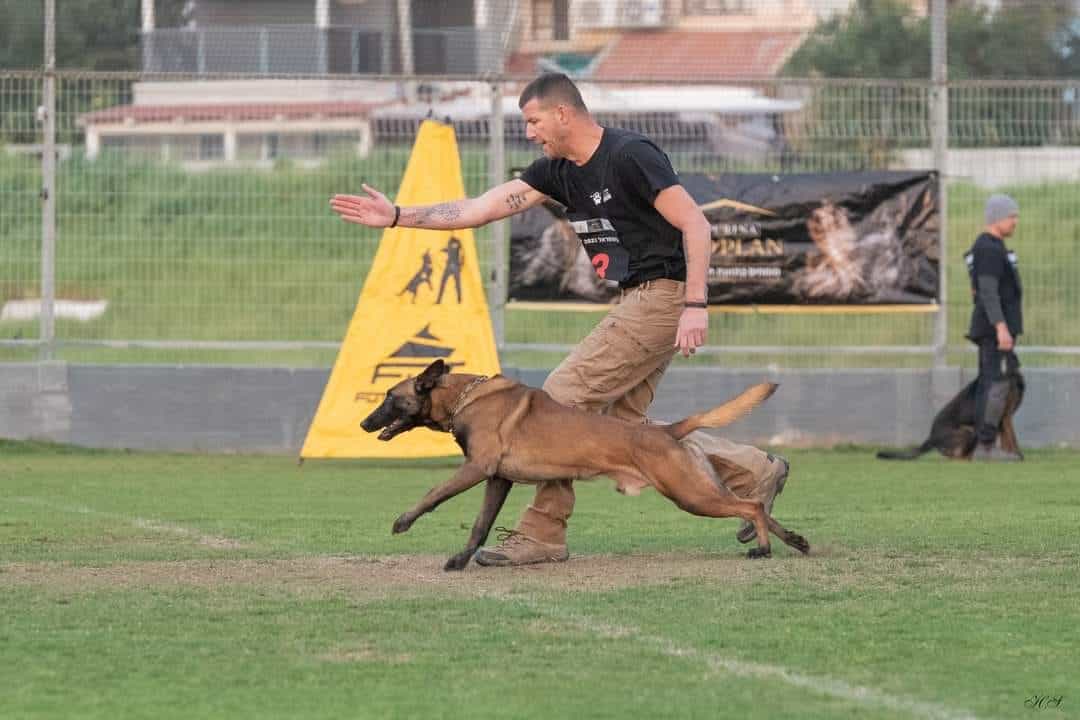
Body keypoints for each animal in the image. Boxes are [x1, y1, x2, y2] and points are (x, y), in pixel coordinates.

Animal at [362, 362, 812, 569]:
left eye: (389, 397)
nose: (364, 424)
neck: (463, 396)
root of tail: (669, 431)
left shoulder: (477, 469)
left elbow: (434, 493)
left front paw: (404, 521)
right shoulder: (497, 479)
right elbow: (480, 525)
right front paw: (461, 559)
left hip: (691, 495)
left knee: (751, 507)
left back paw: (764, 549)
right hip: (701, 488)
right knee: (757, 507)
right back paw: (793, 540)